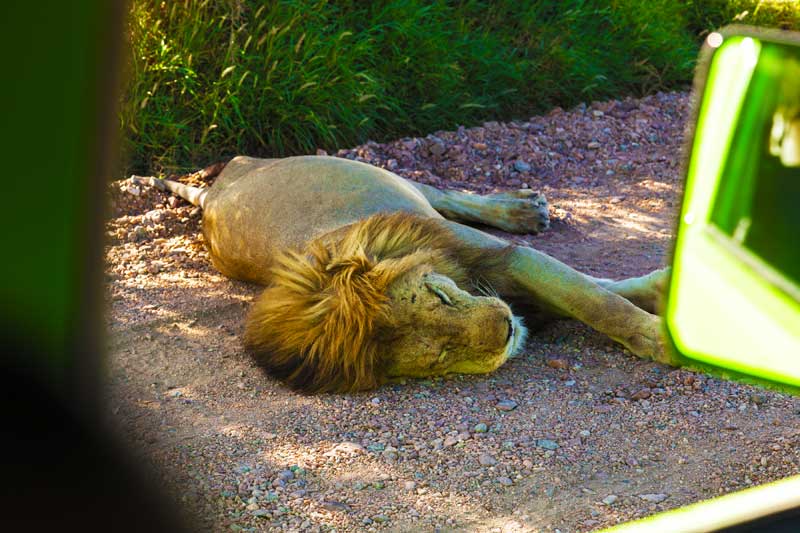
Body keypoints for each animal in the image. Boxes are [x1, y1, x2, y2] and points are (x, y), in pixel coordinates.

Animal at [139, 154, 676, 390]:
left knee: (449, 194)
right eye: (438, 357)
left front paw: (663, 325)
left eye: (440, 296)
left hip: (370, 170)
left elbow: (599, 299)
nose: (504, 330)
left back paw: (523, 210)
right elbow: (596, 294)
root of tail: (213, 192)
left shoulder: (507, 259)